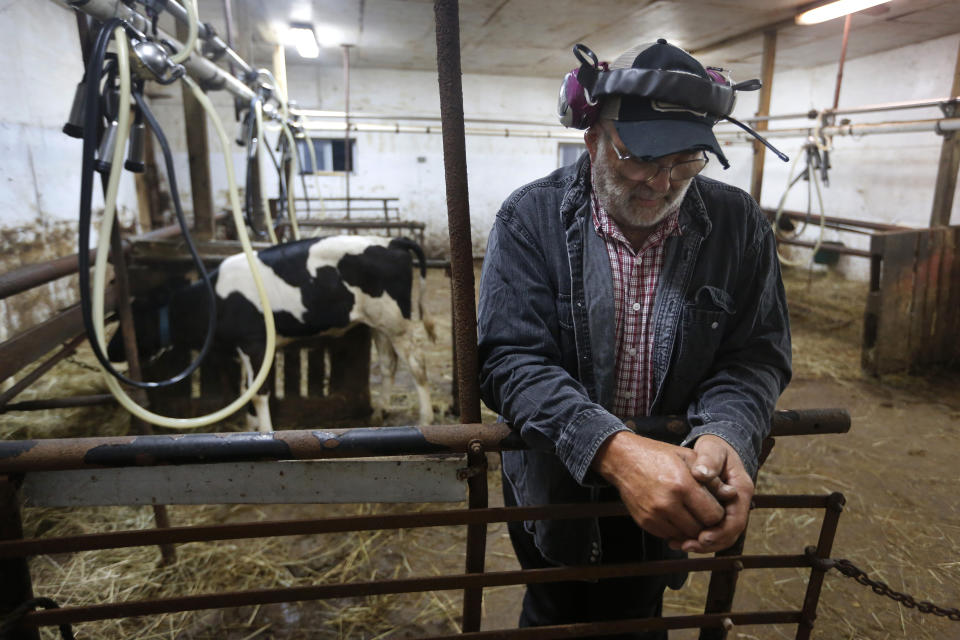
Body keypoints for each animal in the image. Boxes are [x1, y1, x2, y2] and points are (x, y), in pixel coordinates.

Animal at [109, 235, 436, 430]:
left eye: (132, 321)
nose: (111, 350)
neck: (215, 300)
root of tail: (391, 241)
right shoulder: (242, 349)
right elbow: (246, 390)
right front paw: (251, 427)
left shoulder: (254, 344)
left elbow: (258, 392)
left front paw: (264, 432)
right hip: (377, 322)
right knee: (389, 364)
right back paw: (380, 411)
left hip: (397, 321)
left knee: (417, 363)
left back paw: (426, 418)